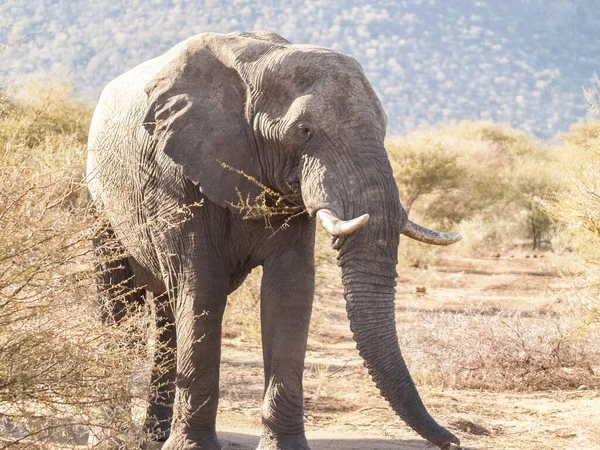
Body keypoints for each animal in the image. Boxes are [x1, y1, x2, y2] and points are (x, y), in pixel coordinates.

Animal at [86, 30, 464, 450]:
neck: (258, 66)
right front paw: (193, 448)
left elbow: (289, 292)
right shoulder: (174, 174)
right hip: (100, 204)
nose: (453, 440)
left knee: (168, 310)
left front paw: (283, 446)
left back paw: (152, 439)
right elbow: (202, 287)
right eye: (304, 131)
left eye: (384, 128)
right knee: (120, 304)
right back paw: (110, 437)